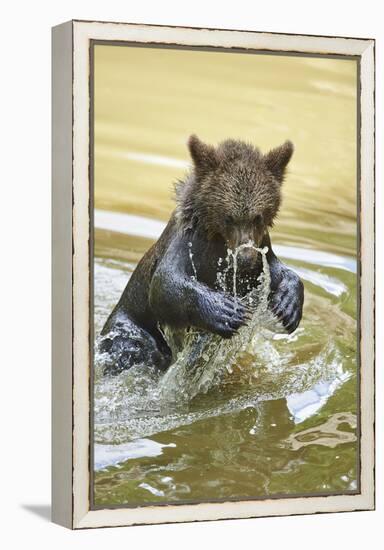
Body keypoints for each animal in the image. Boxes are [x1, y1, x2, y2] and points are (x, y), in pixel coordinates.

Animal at [100, 135, 304, 376]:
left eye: (258, 217)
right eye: (228, 217)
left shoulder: (262, 247)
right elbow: (165, 283)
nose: (244, 259)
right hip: (129, 325)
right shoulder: (188, 244)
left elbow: (276, 271)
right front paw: (227, 311)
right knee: (132, 345)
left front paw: (288, 305)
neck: (218, 238)